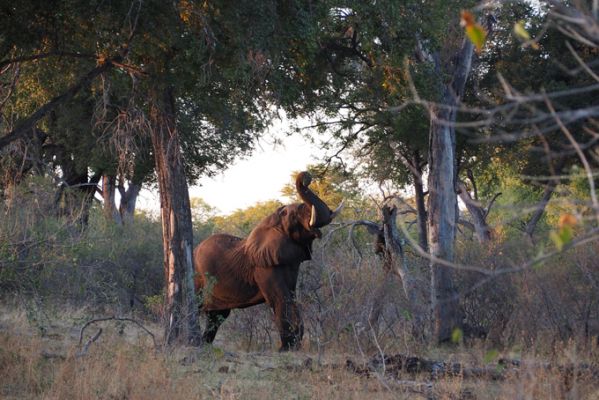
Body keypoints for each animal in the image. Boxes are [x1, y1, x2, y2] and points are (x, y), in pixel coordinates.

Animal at [192, 172, 342, 350]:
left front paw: (293, 347)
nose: (306, 177)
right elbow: (280, 297)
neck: (271, 222)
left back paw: (204, 345)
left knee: (217, 315)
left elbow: (291, 295)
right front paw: (286, 349)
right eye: (293, 215)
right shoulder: (263, 266)